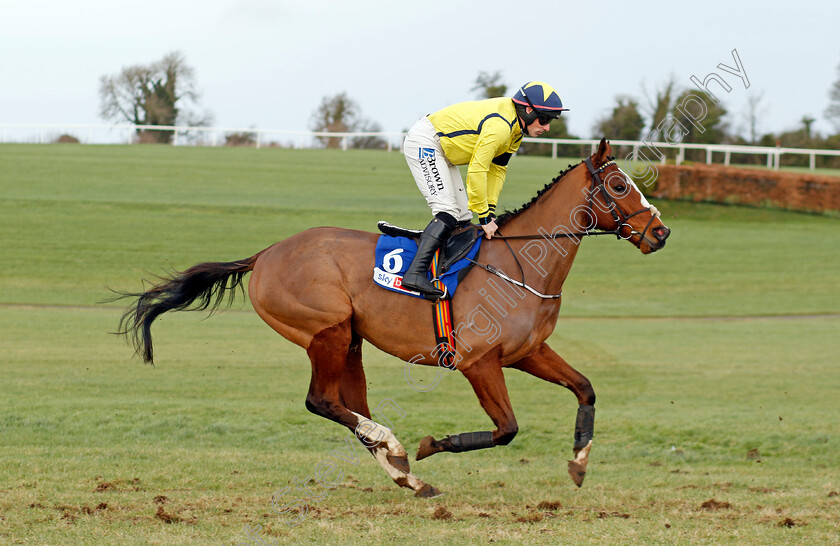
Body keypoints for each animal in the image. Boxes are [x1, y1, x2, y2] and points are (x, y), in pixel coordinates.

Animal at [116, 137, 668, 498]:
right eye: (619, 185)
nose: (660, 233)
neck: (518, 264)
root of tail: (266, 254)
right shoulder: (478, 362)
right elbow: (507, 429)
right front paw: (430, 443)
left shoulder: (527, 353)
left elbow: (585, 389)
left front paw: (579, 464)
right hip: (327, 332)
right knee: (323, 402)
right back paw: (399, 448)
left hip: (351, 342)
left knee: (349, 407)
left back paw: (407, 475)